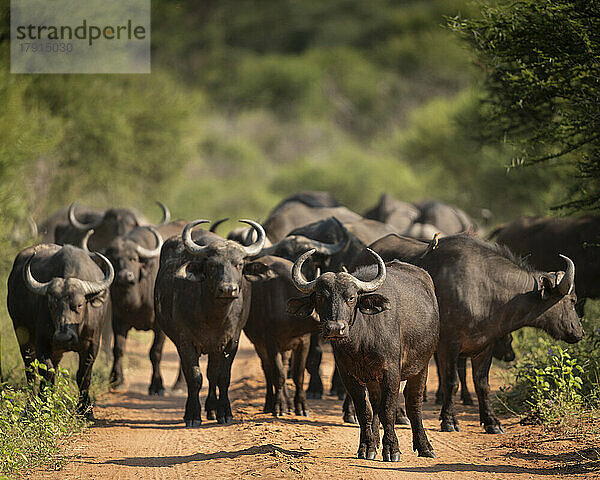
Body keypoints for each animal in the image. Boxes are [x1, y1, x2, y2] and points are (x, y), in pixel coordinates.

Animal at [7, 244, 113, 416]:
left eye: (79, 305)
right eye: (52, 305)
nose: (63, 338)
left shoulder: (93, 343)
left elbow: (84, 375)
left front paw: (85, 410)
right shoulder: (42, 341)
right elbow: (46, 371)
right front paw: (45, 404)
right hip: (22, 335)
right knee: (30, 370)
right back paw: (31, 405)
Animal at [155, 219, 268, 426]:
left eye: (239, 264)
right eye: (213, 265)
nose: (228, 289)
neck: (213, 316)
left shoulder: (231, 341)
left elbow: (222, 377)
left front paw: (224, 412)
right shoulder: (185, 341)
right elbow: (194, 377)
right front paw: (192, 415)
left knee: (213, 375)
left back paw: (213, 409)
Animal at [288, 249, 438, 460]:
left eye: (351, 298)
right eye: (321, 297)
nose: (335, 328)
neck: (361, 342)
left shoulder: (391, 372)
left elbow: (388, 409)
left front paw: (392, 449)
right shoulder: (348, 375)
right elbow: (364, 410)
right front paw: (367, 447)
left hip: (422, 365)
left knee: (413, 403)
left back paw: (425, 447)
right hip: (373, 378)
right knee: (375, 404)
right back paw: (375, 441)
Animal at [354, 234, 584, 434]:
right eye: (572, 300)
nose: (579, 332)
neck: (485, 291)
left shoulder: (485, 346)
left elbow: (482, 384)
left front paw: (492, 422)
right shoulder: (448, 345)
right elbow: (451, 382)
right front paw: (449, 420)